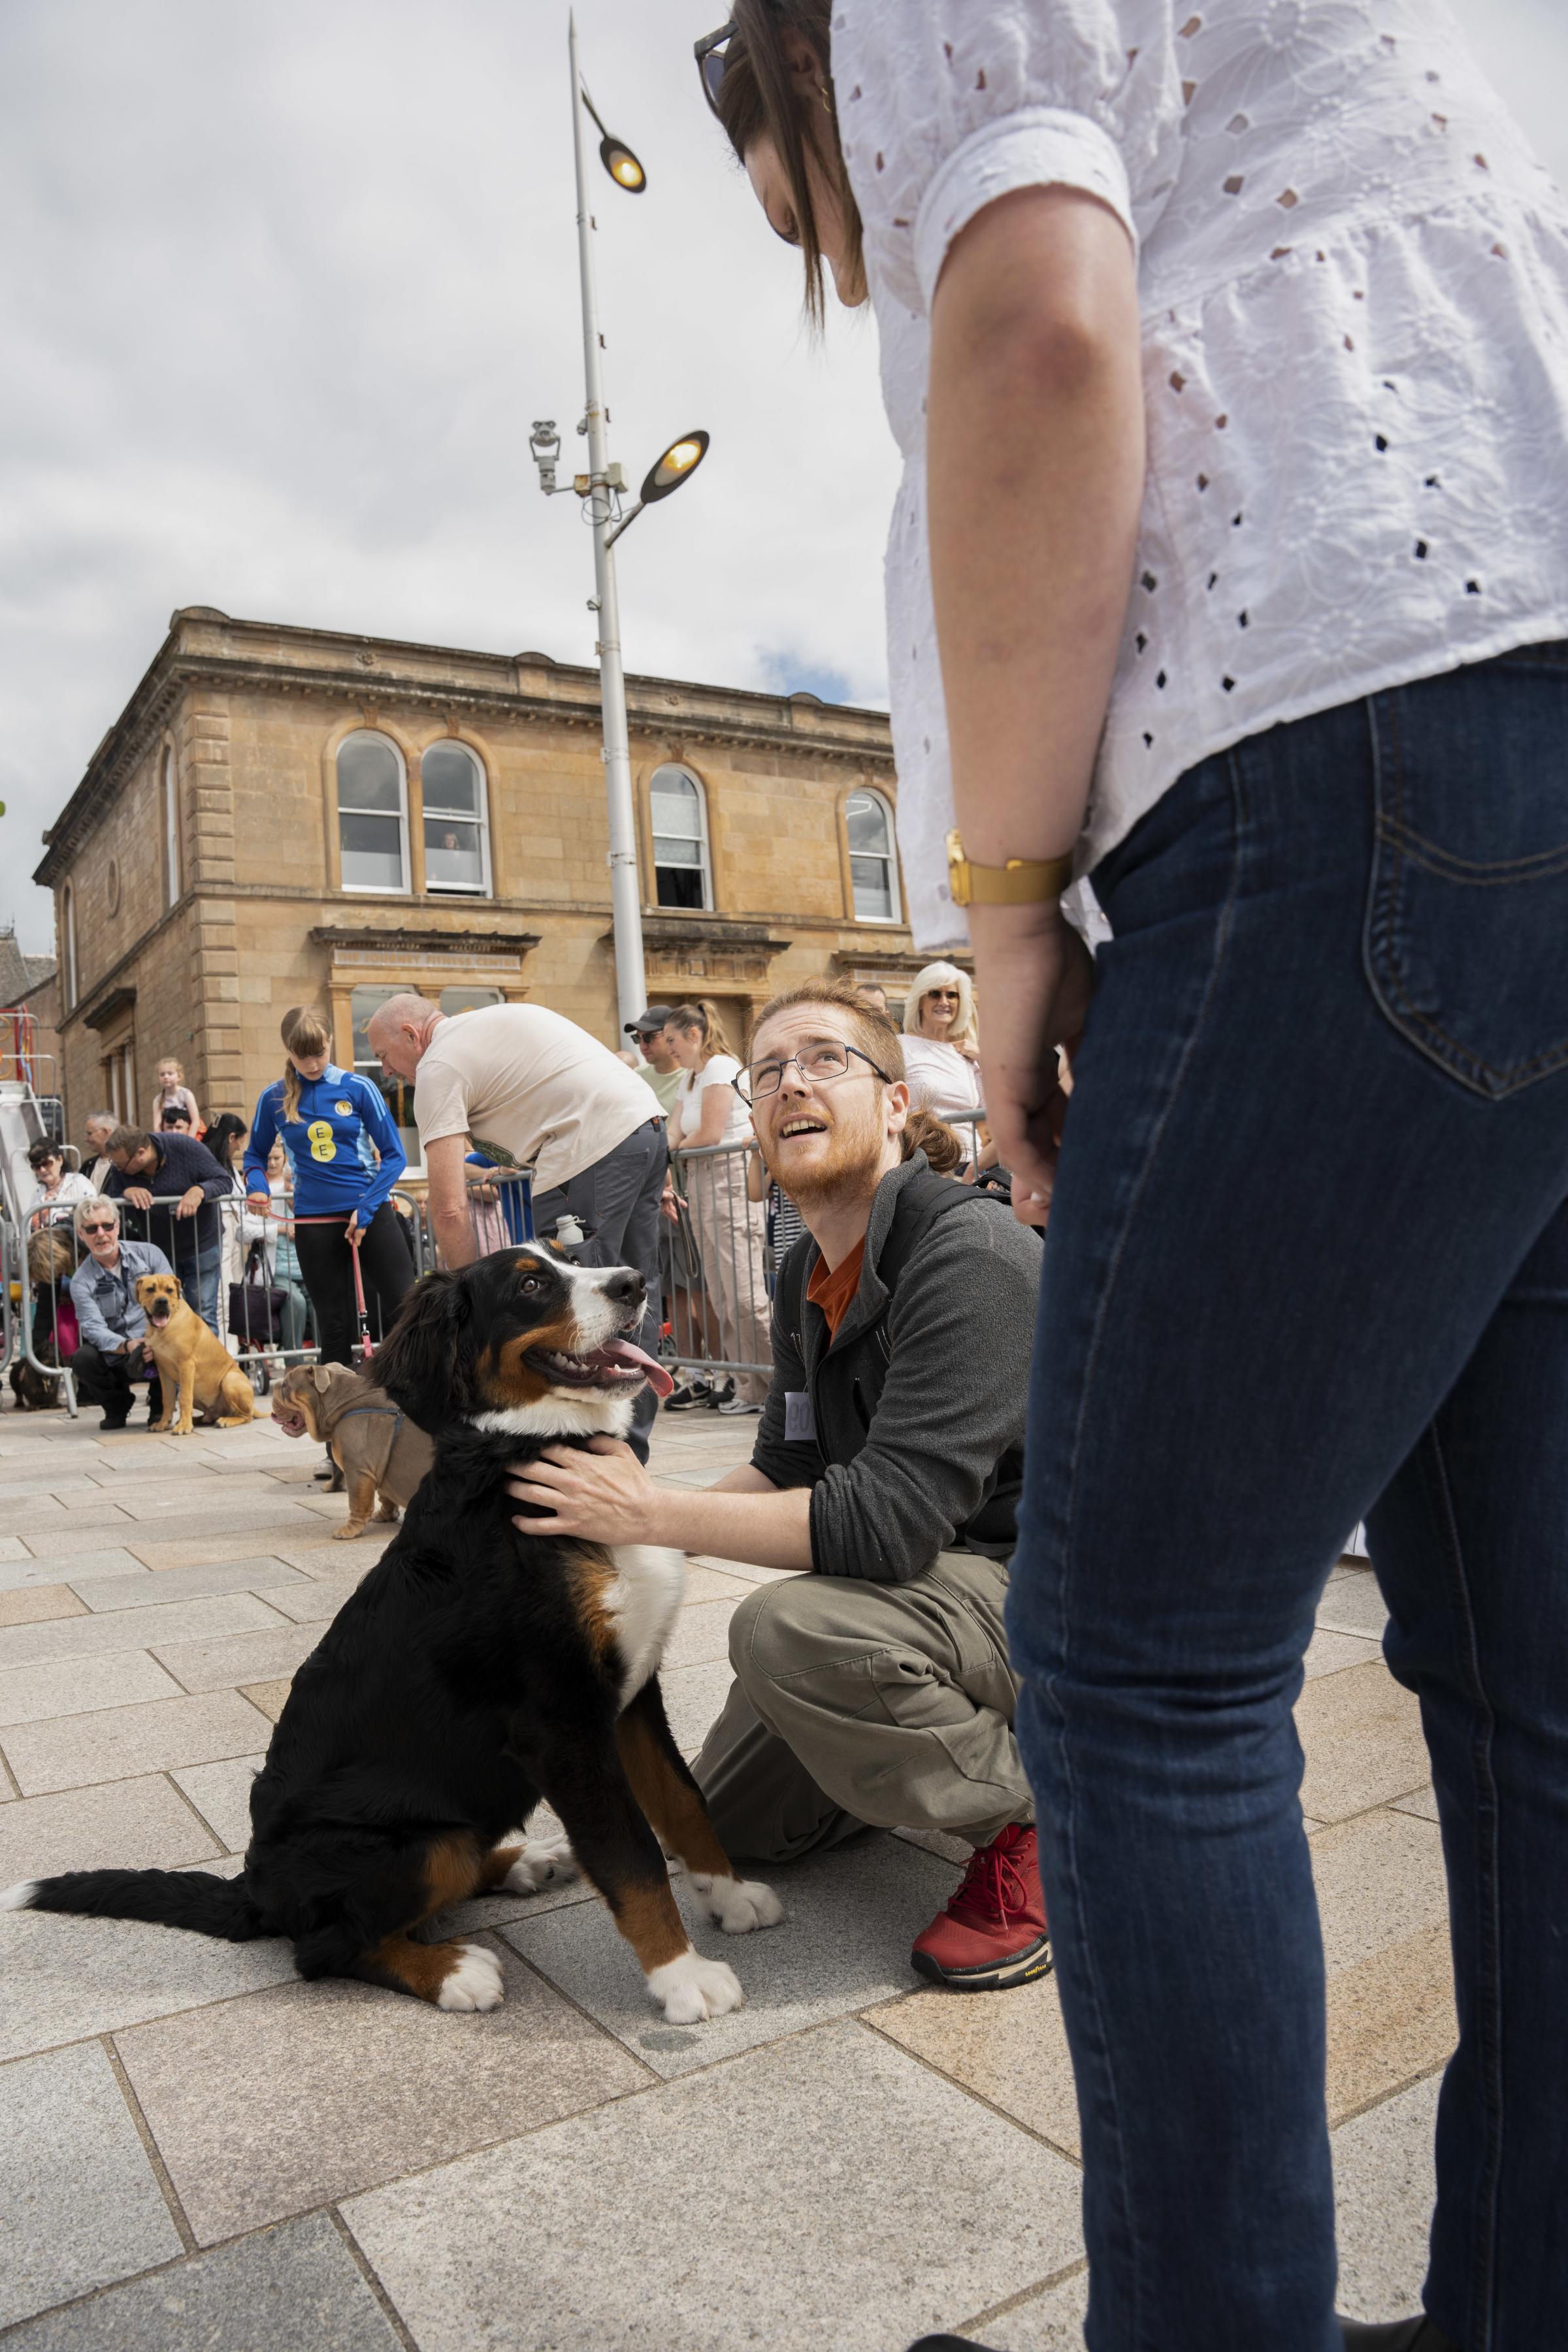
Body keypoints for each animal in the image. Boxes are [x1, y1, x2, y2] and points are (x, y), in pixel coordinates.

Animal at [133, 1279, 256, 1439]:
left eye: (169, 1290)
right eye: (150, 1290)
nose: (162, 1301)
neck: (164, 1327)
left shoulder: (187, 1366)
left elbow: (185, 1399)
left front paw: (184, 1427)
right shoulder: (163, 1372)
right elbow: (168, 1400)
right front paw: (163, 1424)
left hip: (230, 1380)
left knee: (245, 1416)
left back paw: (225, 1421)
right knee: (209, 1416)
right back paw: (196, 1420)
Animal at [271, 1364, 434, 1543]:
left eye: (285, 1386)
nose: (275, 1385)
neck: (341, 1404)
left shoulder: (357, 1471)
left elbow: (357, 1503)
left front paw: (350, 1530)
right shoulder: (378, 1470)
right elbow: (385, 1496)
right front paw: (386, 1515)